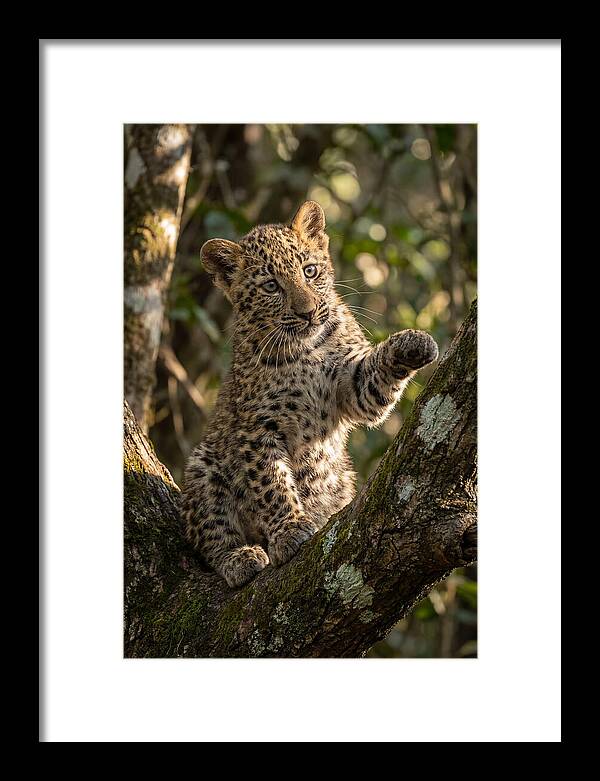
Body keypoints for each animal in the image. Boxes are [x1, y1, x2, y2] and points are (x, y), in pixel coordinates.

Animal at [181, 201, 438, 588]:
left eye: (310, 270)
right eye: (271, 286)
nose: (307, 312)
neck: (306, 351)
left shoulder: (352, 388)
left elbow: (373, 380)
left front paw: (413, 343)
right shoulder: (258, 428)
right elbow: (271, 483)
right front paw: (289, 530)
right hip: (204, 465)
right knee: (209, 537)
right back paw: (240, 557)